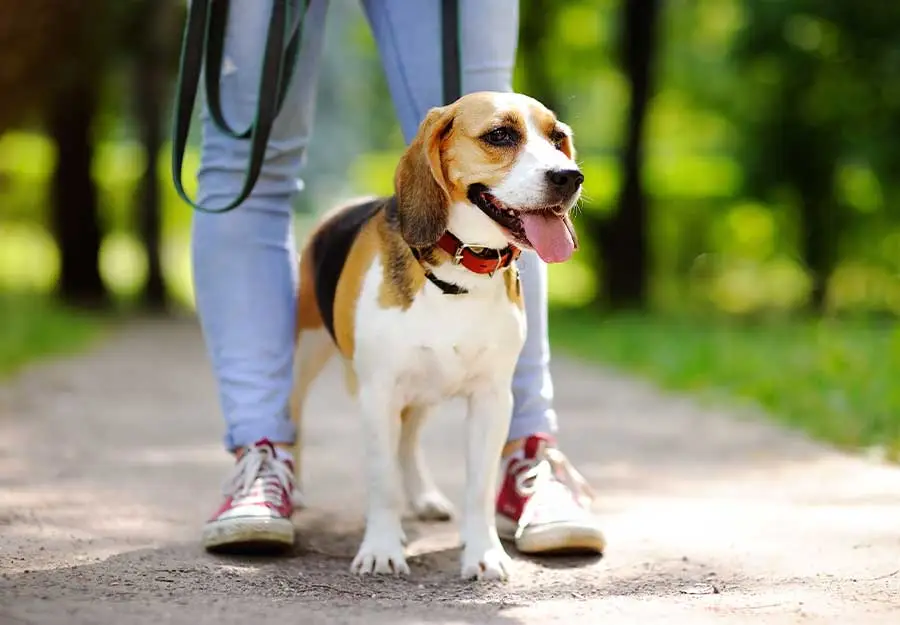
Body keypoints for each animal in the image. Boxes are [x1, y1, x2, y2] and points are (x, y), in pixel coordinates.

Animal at [290, 90, 584, 576]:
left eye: (558, 137)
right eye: (500, 135)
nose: (570, 177)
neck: (460, 270)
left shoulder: (491, 398)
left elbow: (478, 488)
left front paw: (483, 553)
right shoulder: (378, 392)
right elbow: (382, 481)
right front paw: (381, 548)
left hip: (424, 389)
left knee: (408, 441)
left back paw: (424, 497)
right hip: (303, 356)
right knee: (294, 419)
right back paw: (290, 491)